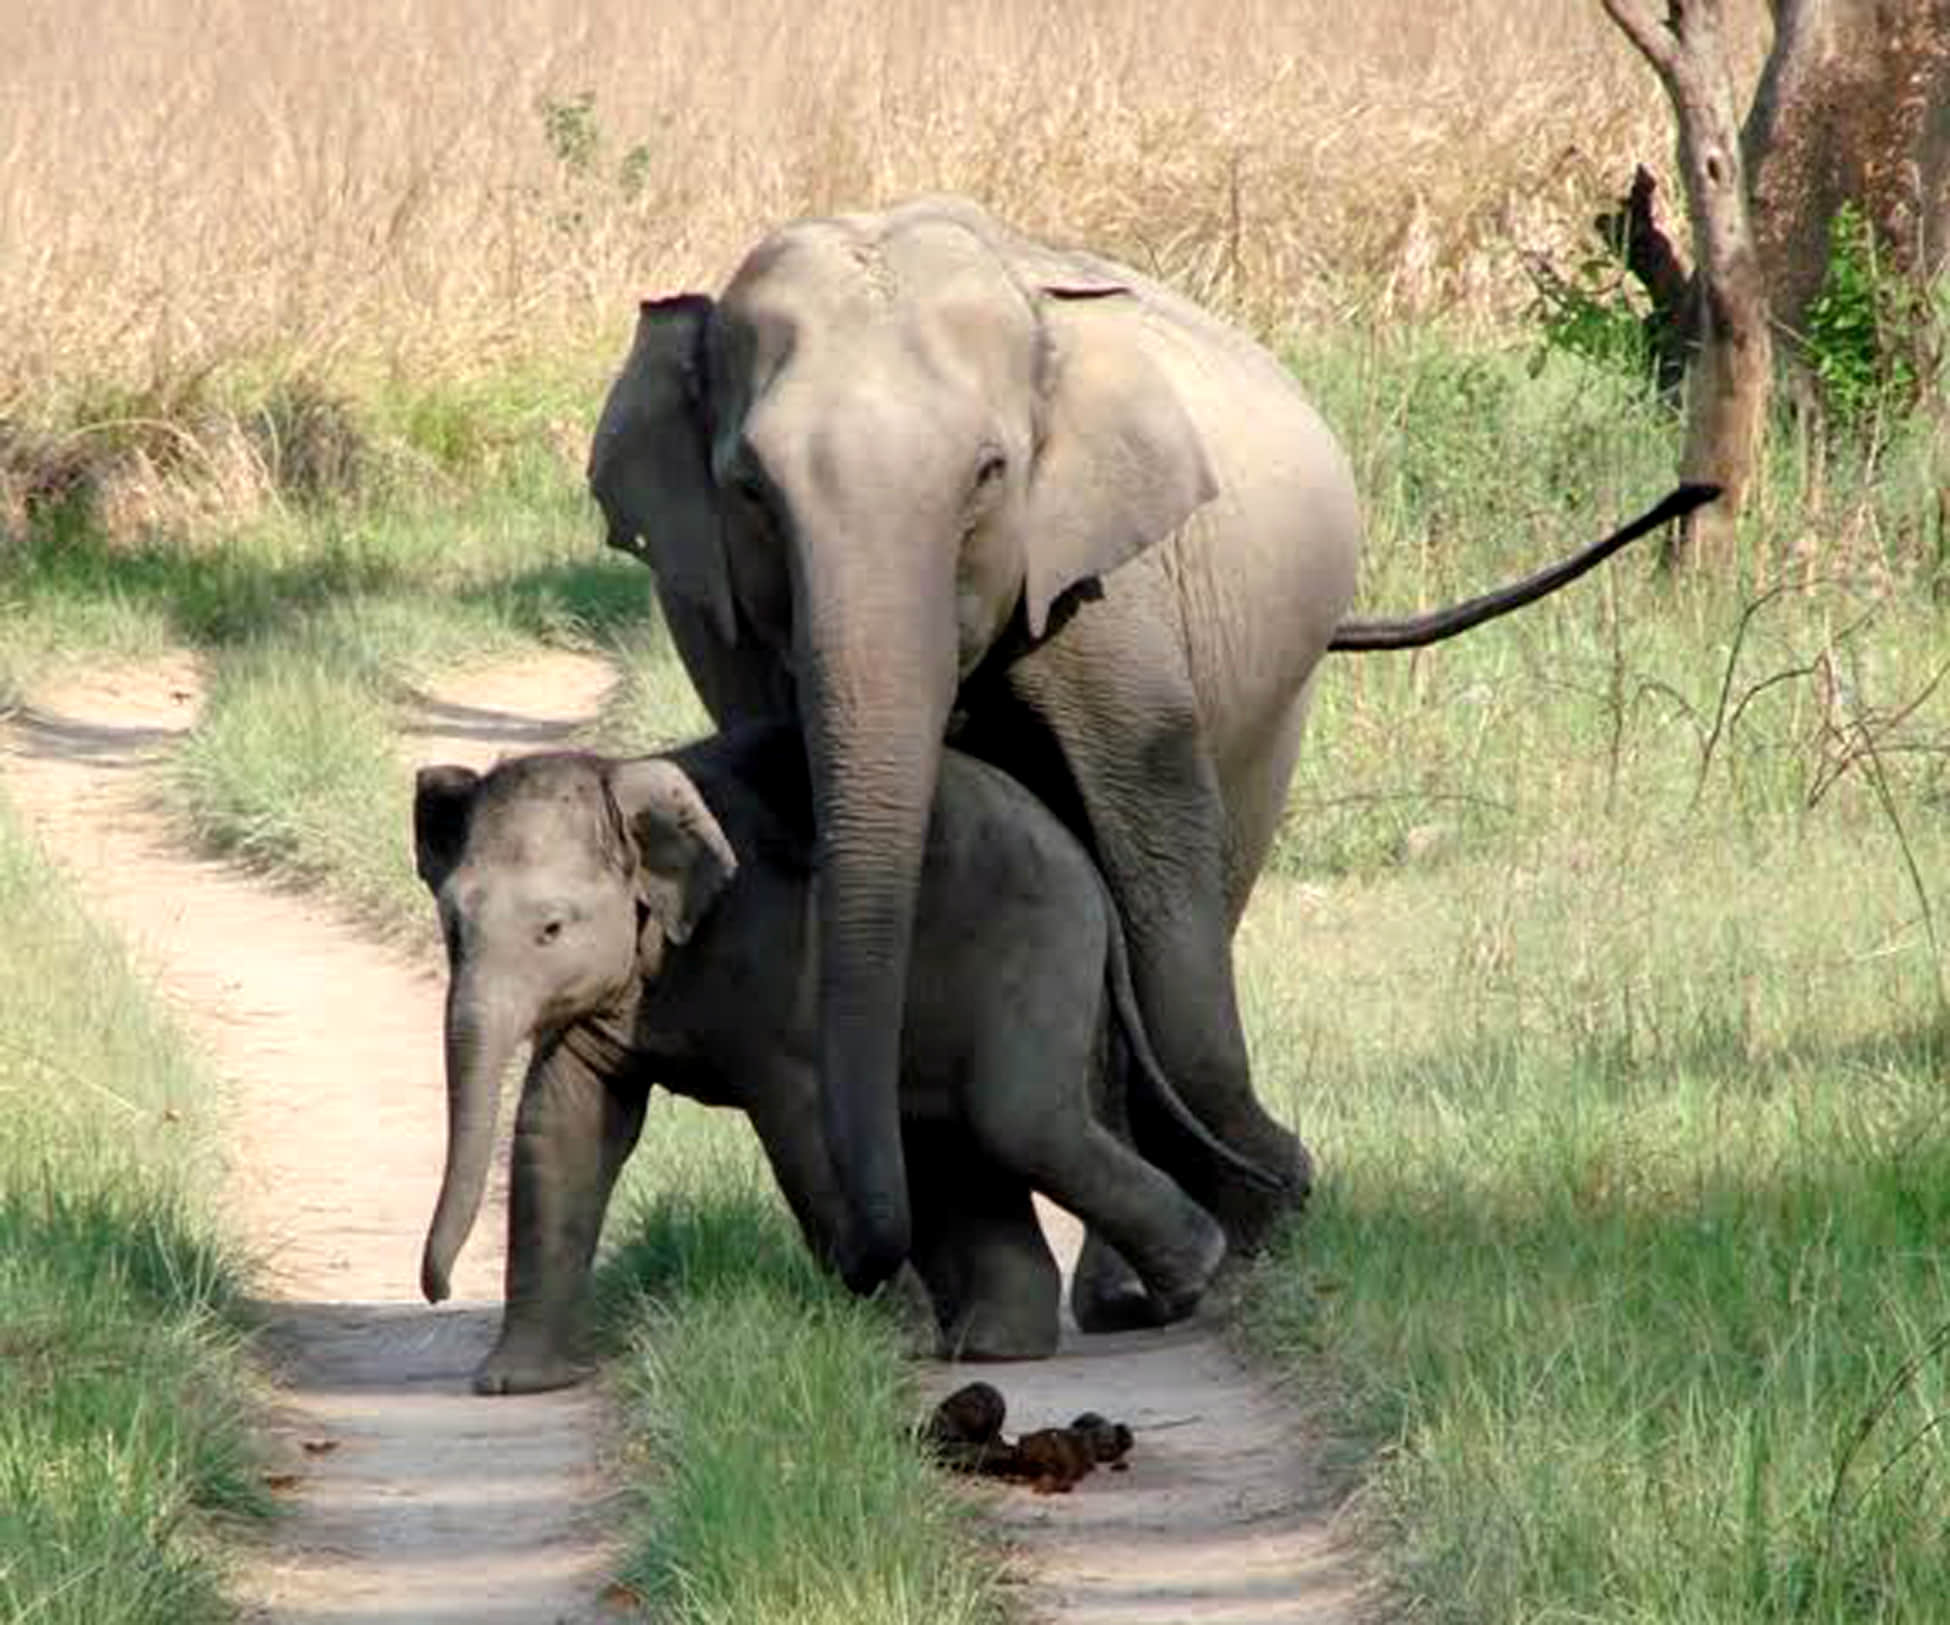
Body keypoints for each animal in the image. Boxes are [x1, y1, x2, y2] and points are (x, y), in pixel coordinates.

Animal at [413, 724, 1274, 1394]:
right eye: (452, 925)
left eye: (552, 928)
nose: (438, 1286)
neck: (628, 775)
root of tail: (1086, 861)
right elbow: (561, 1125)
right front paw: (513, 1384)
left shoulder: (764, 957)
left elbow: (799, 1125)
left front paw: (892, 1338)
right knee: (963, 1136)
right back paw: (992, 1344)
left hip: (1038, 940)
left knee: (1017, 1118)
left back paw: (1188, 1277)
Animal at [587, 192, 1714, 1305]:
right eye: (749, 488)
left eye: (990, 473)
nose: (1296, 1174)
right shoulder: (725, 620)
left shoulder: (1109, 579)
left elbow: (1152, 817)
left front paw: (1256, 1212)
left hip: (1278, 682)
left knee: (1214, 852)